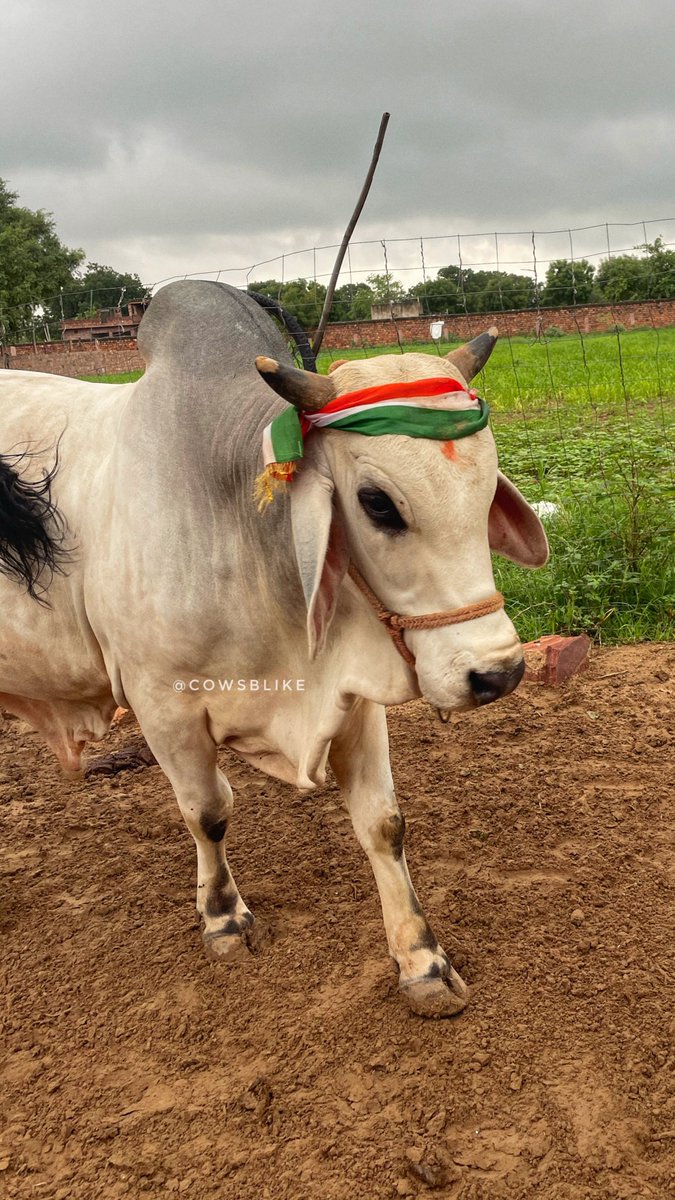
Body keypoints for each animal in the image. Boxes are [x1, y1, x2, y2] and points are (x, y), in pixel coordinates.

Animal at [0, 282, 548, 1017]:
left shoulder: (352, 691)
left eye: (487, 491)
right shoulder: (161, 704)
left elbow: (383, 823)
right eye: (377, 503)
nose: (497, 673)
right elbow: (207, 812)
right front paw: (223, 919)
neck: (236, 521)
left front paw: (423, 961)